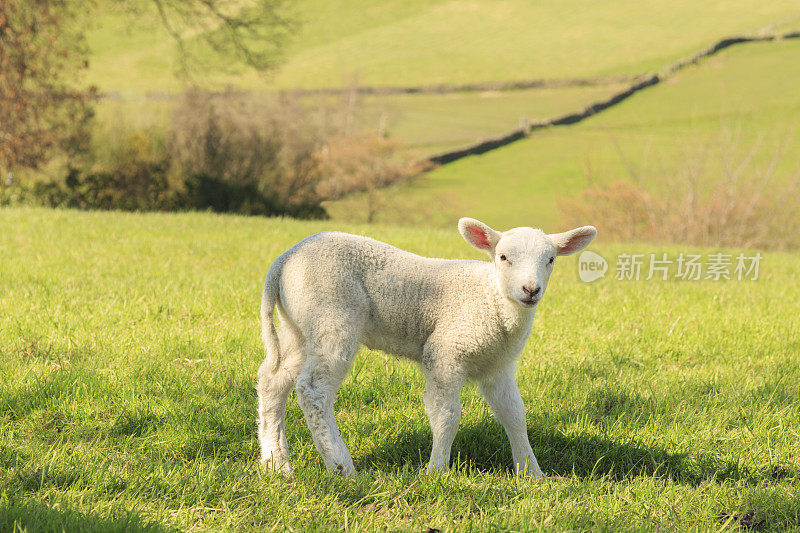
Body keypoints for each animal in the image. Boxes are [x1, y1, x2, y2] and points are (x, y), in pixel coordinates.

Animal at [256, 216, 592, 478]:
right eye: (503, 257)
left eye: (550, 260)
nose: (530, 290)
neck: (491, 299)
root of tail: (284, 259)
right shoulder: (445, 353)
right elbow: (447, 415)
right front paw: (437, 471)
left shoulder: (498, 366)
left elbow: (515, 415)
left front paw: (531, 473)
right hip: (331, 315)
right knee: (313, 391)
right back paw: (340, 466)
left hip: (299, 327)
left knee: (273, 381)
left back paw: (276, 464)